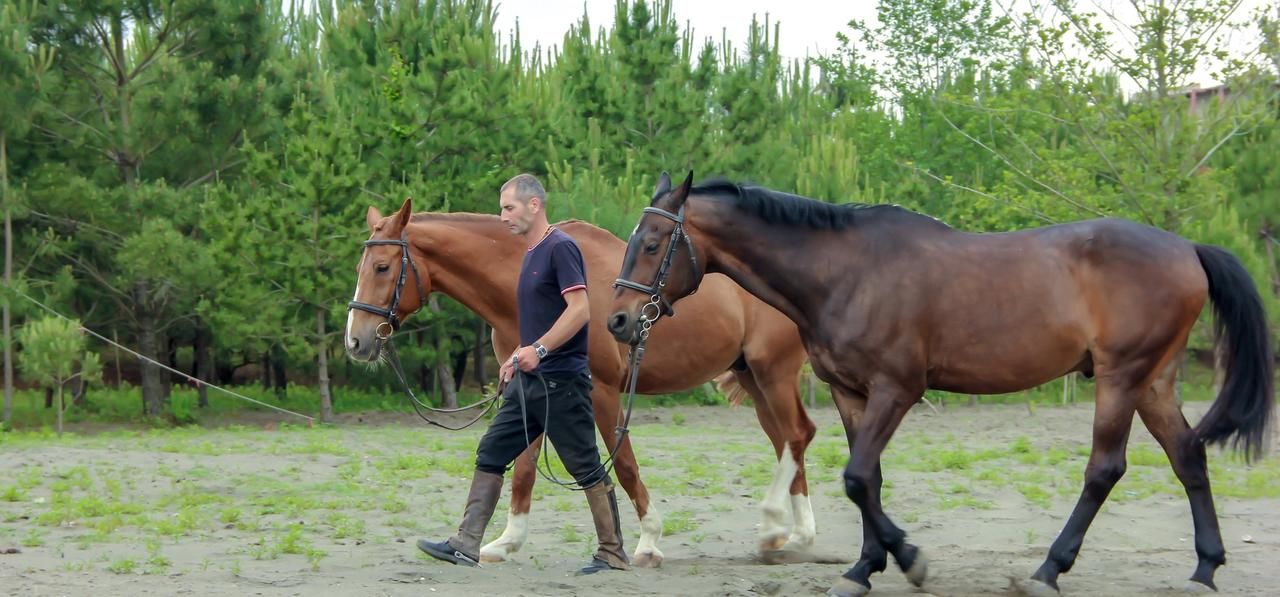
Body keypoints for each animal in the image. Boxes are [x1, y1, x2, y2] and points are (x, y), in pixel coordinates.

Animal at [343, 198, 819, 566]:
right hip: (754, 379)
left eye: (382, 266)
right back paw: (788, 535)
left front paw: (648, 541)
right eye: (360, 266)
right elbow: (524, 469)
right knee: (785, 442)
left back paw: (794, 534)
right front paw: (506, 542)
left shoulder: (604, 392)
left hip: (773, 375)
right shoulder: (527, 384)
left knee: (797, 434)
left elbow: (621, 465)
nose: (355, 341)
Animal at [606, 170, 1269, 594]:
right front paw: (867, 566)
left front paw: (908, 560)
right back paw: (1204, 569)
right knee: (1188, 457)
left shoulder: (897, 390)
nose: (617, 321)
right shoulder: (852, 394)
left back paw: (1048, 572)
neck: (845, 272)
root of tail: (1187, 247)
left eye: (654, 242)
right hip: (1153, 381)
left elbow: (857, 476)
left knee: (1105, 469)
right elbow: (866, 480)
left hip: (1121, 377)